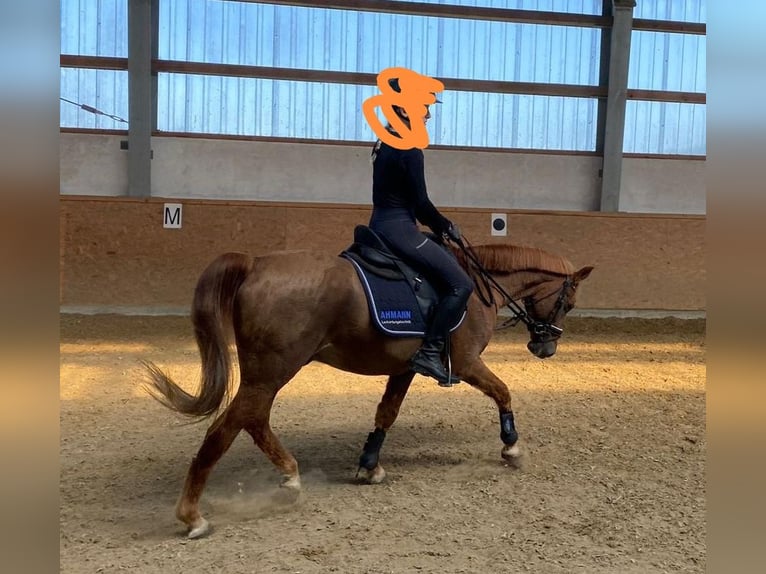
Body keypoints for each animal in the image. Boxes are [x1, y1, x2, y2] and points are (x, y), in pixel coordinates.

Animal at [147, 241, 596, 536]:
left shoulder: (407, 368)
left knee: (253, 421)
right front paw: (512, 448)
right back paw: (193, 515)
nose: (545, 347)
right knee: (225, 429)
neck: (476, 287)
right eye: (568, 302)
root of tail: (255, 263)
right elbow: (503, 392)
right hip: (270, 372)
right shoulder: (468, 363)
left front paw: (368, 464)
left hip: (268, 373)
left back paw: (289, 475)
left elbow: (387, 413)